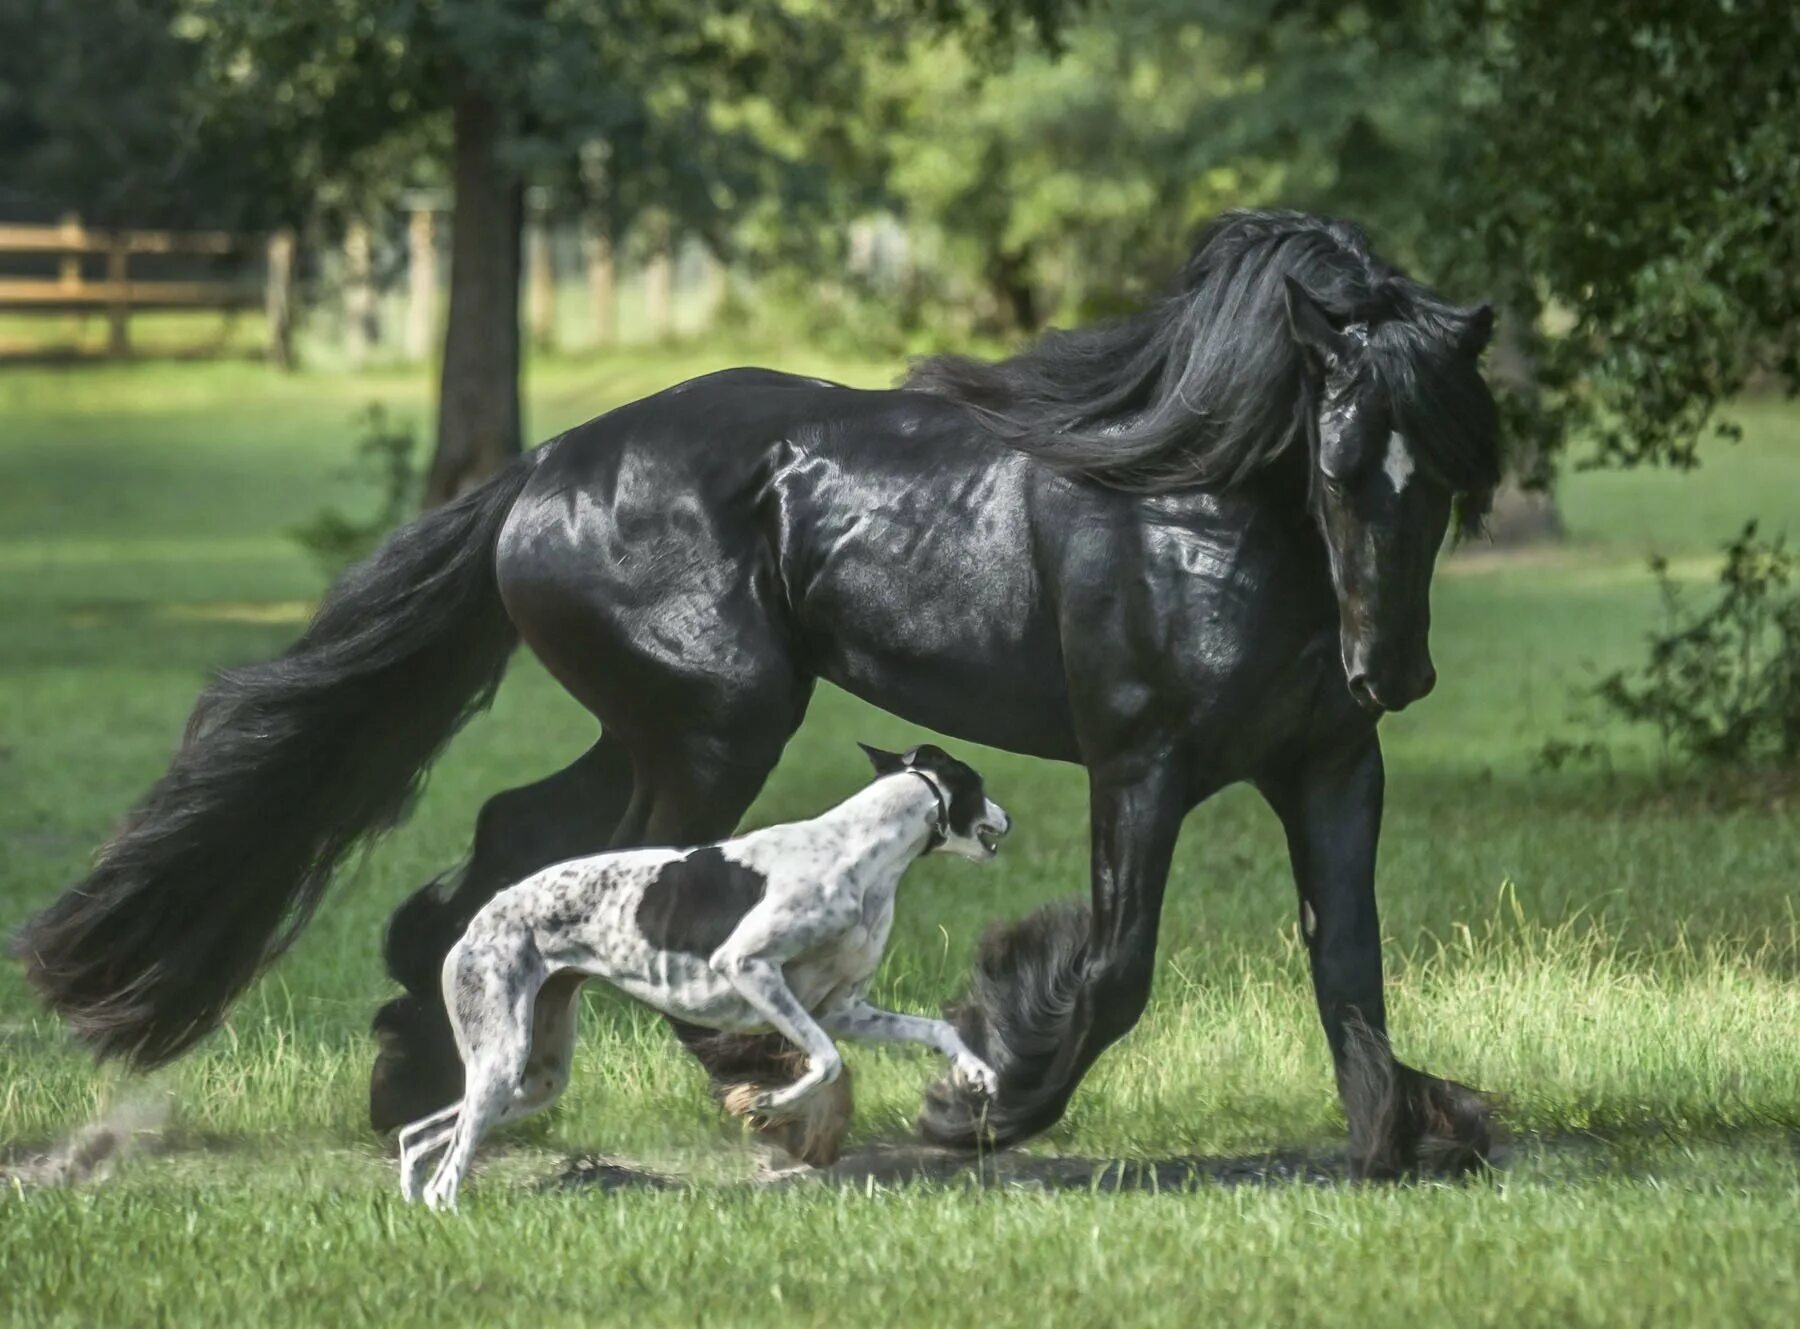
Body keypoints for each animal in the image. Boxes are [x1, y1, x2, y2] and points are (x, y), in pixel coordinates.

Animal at [399, 741, 1008, 1202]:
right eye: (980, 784)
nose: (1009, 817)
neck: (859, 850)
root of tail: (478, 922)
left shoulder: (843, 1008)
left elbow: (935, 1029)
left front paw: (979, 1071)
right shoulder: (749, 968)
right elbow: (827, 1060)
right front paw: (773, 1103)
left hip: (532, 1080)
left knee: (416, 1134)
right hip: (502, 1059)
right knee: (443, 1180)